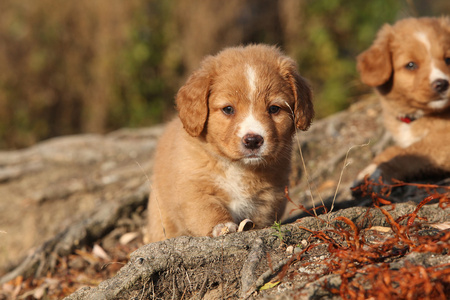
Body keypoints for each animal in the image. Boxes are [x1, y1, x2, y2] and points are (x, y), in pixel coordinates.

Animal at [356, 18, 450, 183]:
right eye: (411, 65)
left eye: (448, 59)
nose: (442, 84)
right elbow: (398, 148)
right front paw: (370, 168)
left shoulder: (443, 139)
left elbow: (411, 152)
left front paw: (380, 171)